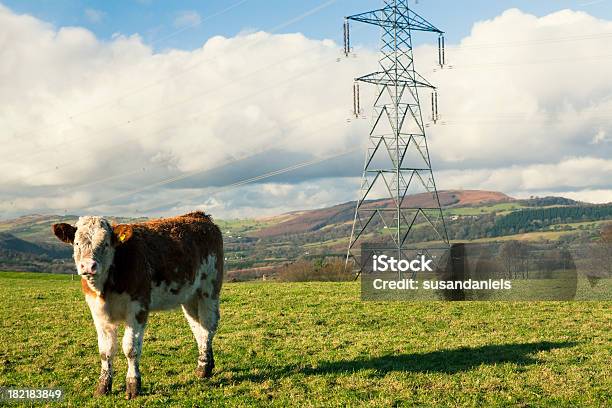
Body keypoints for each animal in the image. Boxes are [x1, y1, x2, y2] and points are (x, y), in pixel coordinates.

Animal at [50, 212, 222, 400]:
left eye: (105, 243)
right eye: (76, 243)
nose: (88, 266)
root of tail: (199, 215)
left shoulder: (138, 309)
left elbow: (131, 349)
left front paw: (133, 385)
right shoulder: (98, 314)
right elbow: (105, 351)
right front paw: (103, 386)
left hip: (209, 290)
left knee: (208, 327)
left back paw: (204, 368)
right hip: (189, 296)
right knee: (198, 329)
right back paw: (207, 363)